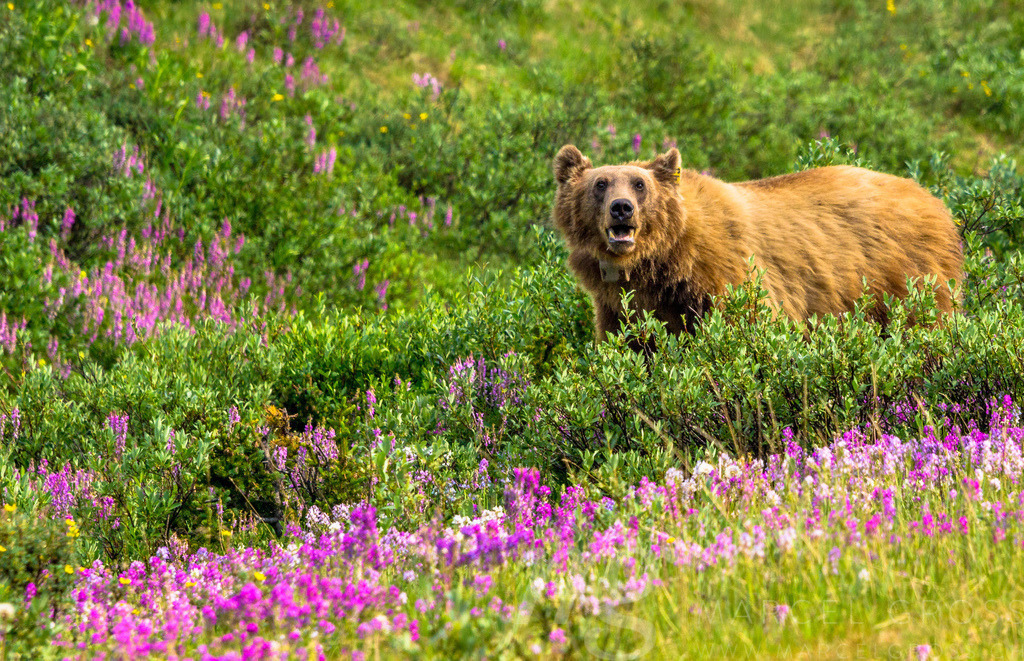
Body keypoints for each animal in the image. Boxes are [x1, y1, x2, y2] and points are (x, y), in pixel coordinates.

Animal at [551, 144, 963, 342]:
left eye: (639, 184)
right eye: (600, 184)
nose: (621, 209)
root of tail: (936, 202)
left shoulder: (728, 277)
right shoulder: (621, 309)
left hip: (908, 281)